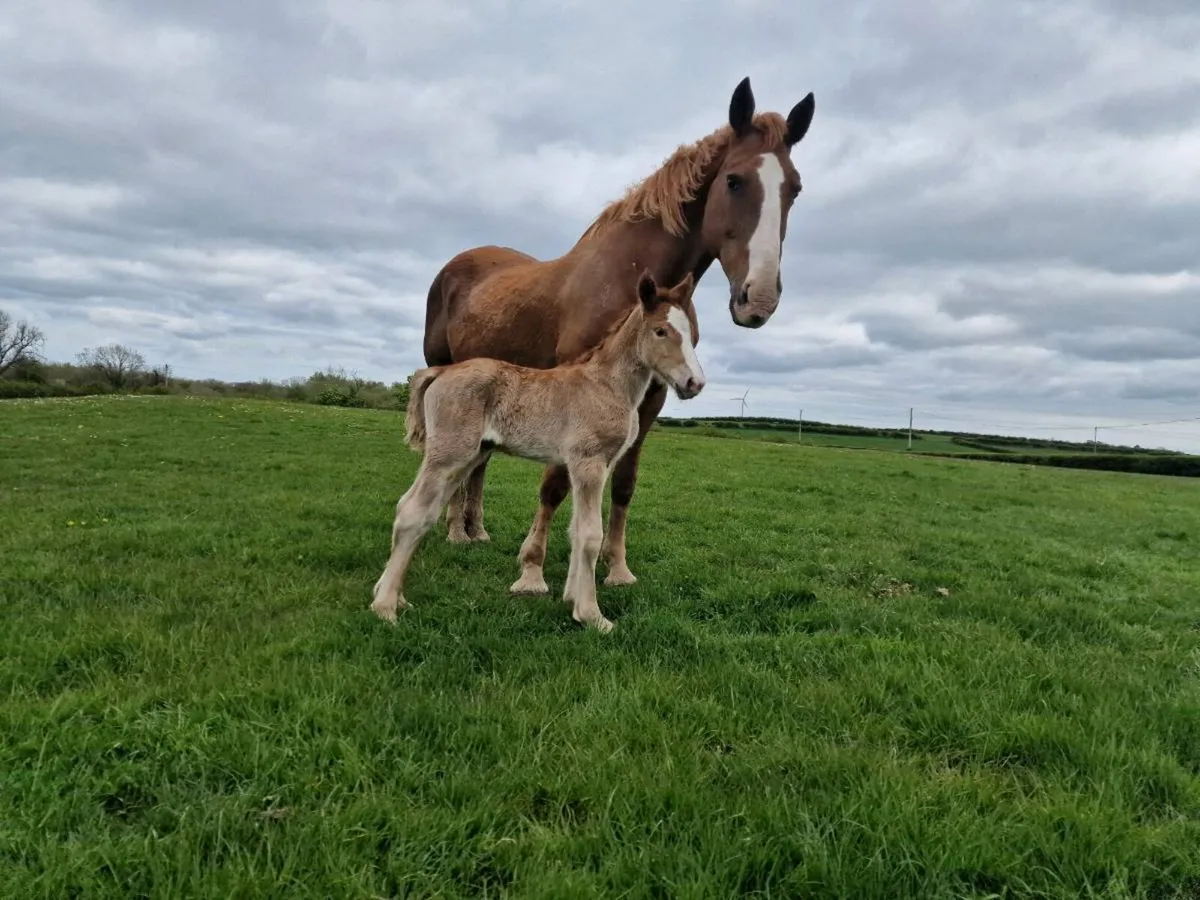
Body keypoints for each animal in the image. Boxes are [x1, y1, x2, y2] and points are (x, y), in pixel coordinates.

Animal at [373, 270, 705, 632]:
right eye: (661, 331)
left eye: (690, 333)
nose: (695, 383)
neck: (606, 384)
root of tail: (441, 372)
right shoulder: (588, 462)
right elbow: (590, 534)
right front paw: (592, 615)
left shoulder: (592, 465)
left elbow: (576, 531)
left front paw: (572, 599)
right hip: (449, 454)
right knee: (411, 511)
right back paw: (385, 607)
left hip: (466, 457)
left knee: (419, 511)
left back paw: (396, 596)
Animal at [421, 75, 815, 596]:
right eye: (734, 180)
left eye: (795, 189)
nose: (760, 299)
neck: (629, 279)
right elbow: (554, 482)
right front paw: (532, 571)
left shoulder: (650, 399)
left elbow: (625, 481)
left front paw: (617, 567)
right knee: (460, 460)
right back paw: (453, 531)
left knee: (479, 462)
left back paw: (475, 529)